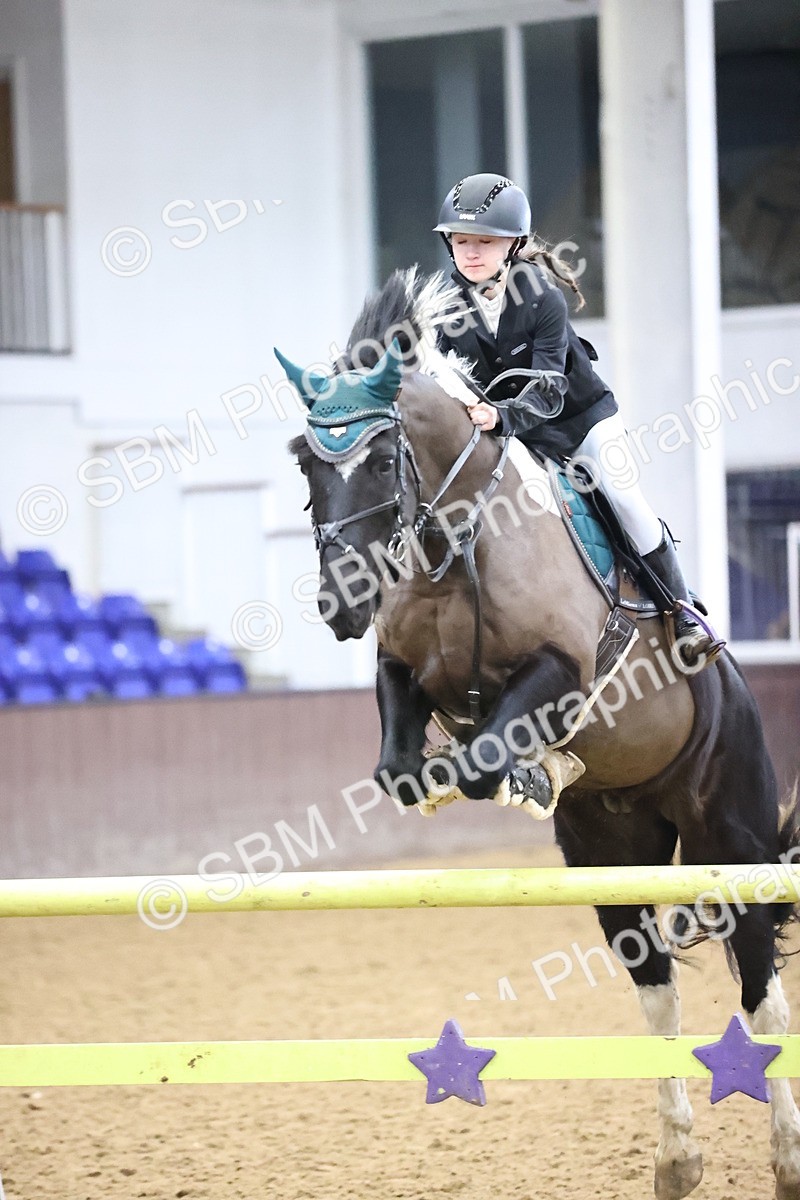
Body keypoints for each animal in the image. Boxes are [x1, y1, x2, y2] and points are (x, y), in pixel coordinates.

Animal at [279, 268, 800, 1200]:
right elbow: (403, 765)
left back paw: (784, 1158)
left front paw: (520, 768)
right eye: (305, 460)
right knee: (657, 989)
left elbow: (488, 752)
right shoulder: (403, 671)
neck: (455, 542)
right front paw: (481, 776)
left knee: (760, 994)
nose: (343, 606)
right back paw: (676, 1159)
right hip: (611, 851)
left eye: (379, 457)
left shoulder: (565, 669)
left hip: (728, 836)